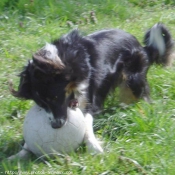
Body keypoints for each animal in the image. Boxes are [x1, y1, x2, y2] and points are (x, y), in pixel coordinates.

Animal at [8, 22, 174, 159]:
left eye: (55, 97)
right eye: (41, 104)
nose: (56, 126)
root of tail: (143, 48)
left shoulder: (89, 99)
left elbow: (86, 124)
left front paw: (94, 147)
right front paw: (20, 154)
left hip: (133, 80)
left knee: (142, 97)